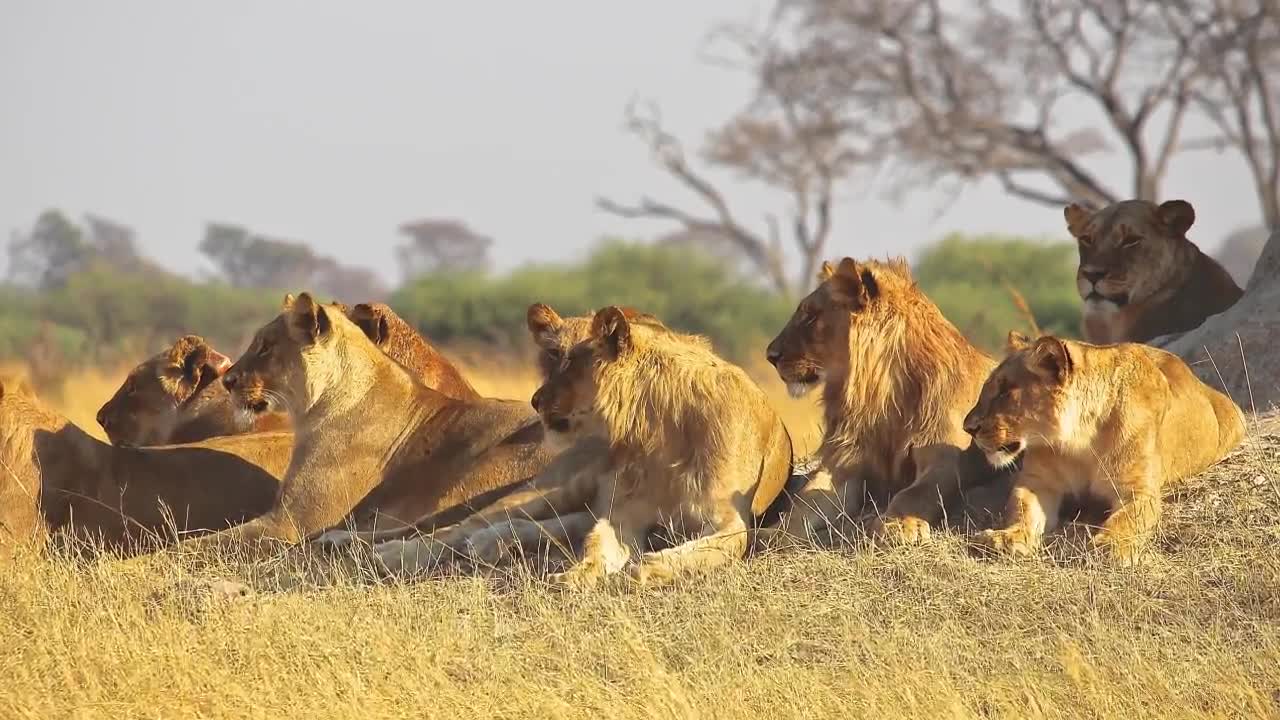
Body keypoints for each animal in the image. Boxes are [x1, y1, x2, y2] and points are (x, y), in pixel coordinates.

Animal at [757, 254, 1008, 540]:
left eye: (811, 316)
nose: (770, 355)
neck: (880, 395)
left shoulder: (946, 457)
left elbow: (915, 493)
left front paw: (898, 524)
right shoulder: (845, 462)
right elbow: (806, 501)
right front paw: (773, 533)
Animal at [962, 330, 1244, 561]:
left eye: (1004, 392)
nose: (968, 427)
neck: (1080, 441)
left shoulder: (1138, 490)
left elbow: (1127, 519)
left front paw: (1110, 545)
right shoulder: (1037, 482)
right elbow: (1022, 509)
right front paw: (1006, 537)